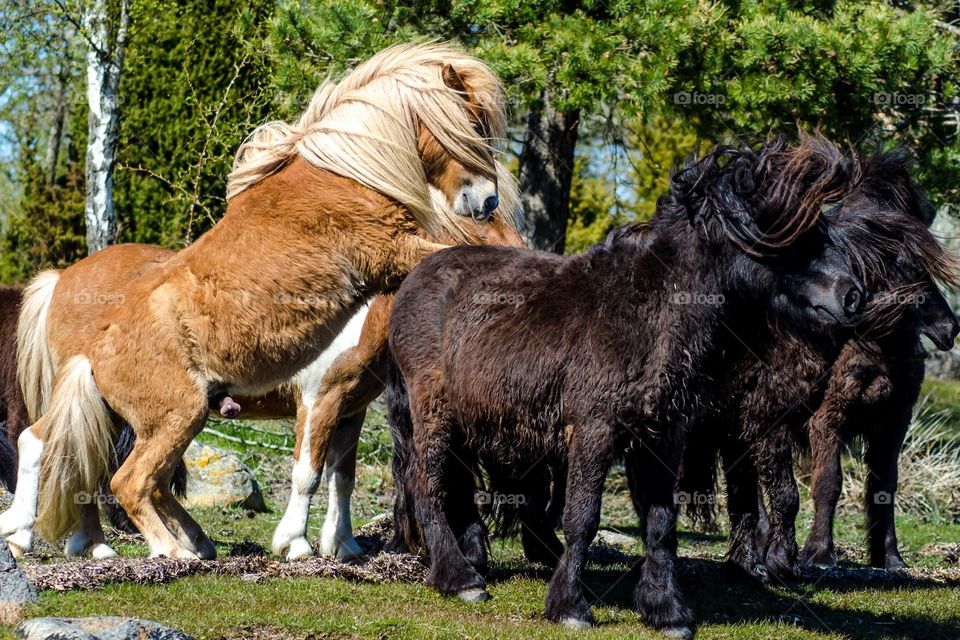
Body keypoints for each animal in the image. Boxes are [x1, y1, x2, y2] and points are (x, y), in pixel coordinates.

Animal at [1, 42, 524, 556]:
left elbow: (342, 477)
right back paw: (152, 551)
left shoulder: (350, 407)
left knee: (96, 464)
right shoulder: (332, 373)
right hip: (175, 417)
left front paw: (343, 546)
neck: (342, 176)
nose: (486, 201)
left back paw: (150, 543)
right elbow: (308, 473)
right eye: (473, 124)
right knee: (120, 478)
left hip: (125, 416)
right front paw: (296, 545)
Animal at [382, 135, 872, 636]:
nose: (853, 296)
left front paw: (665, 609)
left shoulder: (662, 436)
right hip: (434, 412)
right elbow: (582, 516)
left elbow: (660, 522)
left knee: (455, 485)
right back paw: (459, 577)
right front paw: (570, 605)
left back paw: (472, 561)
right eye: (788, 229)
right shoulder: (594, 430)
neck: (648, 312)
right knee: (427, 485)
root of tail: (412, 281)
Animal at [676, 150, 960, 580]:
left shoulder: (894, 422)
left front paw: (890, 558)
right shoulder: (827, 419)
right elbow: (828, 482)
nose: (950, 328)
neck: (876, 350)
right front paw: (820, 554)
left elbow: (885, 486)